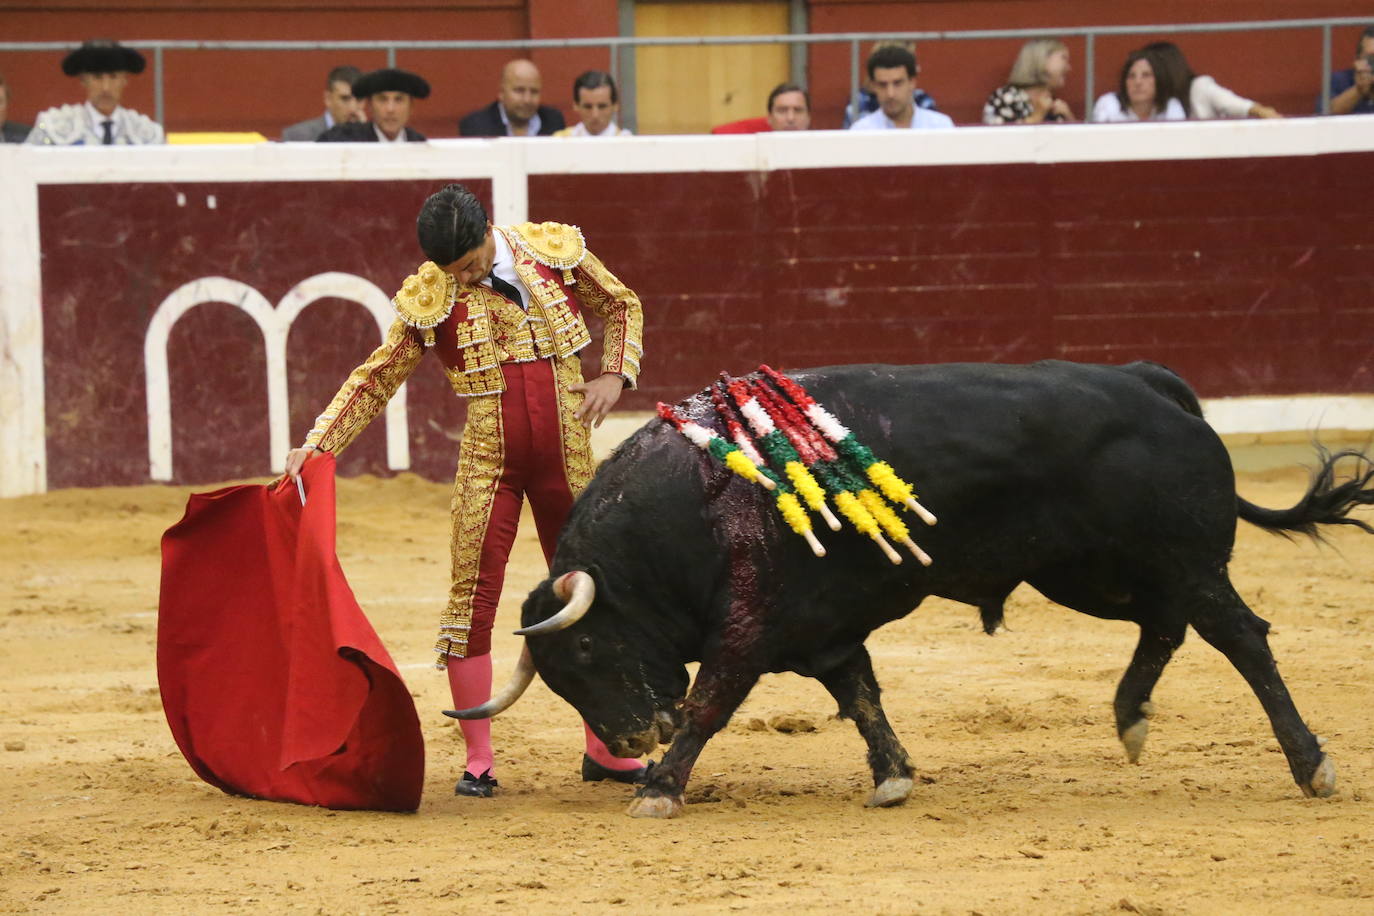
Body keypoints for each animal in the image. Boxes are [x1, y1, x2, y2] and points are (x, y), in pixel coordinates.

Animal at [450, 362, 1374, 818]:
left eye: (589, 647)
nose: (636, 736)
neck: (697, 501)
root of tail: (1159, 387)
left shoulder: (749, 625)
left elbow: (715, 699)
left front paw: (660, 788)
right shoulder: (819, 630)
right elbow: (860, 693)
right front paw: (893, 778)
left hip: (1179, 563)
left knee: (1240, 635)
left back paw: (1312, 766)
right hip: (1087, 575)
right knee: (1167, 626)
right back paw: (1132, 718)